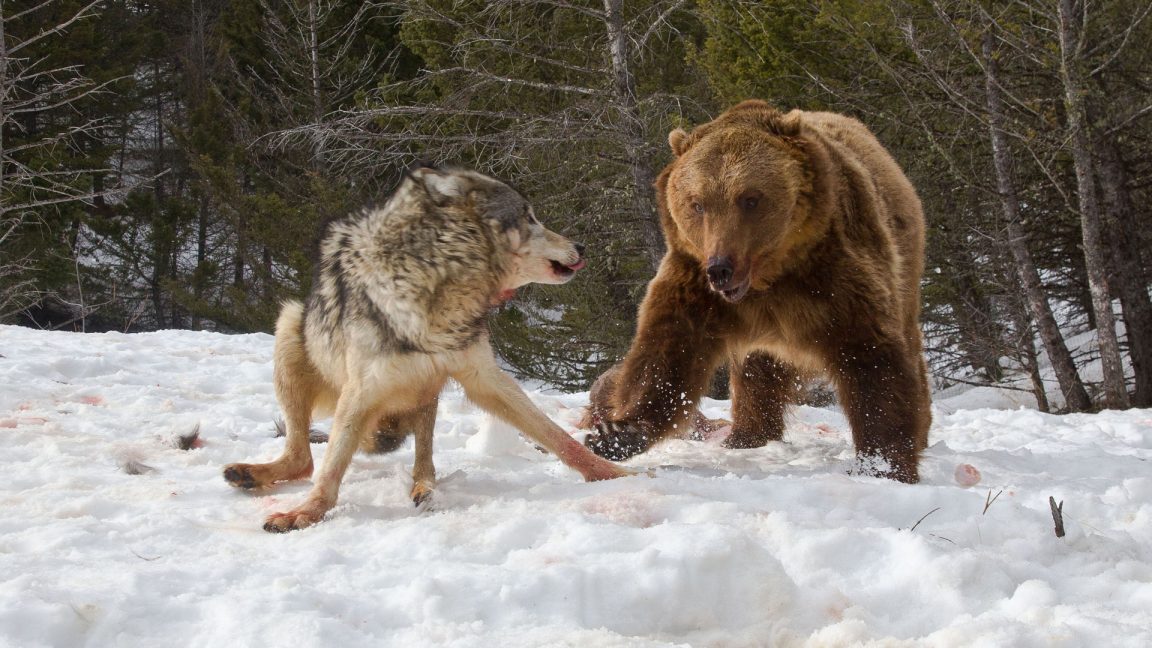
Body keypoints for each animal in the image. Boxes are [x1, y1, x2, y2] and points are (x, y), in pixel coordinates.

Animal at [589, 100, 930, 481]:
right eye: (697, 203)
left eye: (750, 198)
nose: (720, 268)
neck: (768, 279)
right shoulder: (693, 283)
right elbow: (665, 355)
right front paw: (618, 432)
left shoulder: (836, 276)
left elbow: (871, 358)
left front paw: (882, 465)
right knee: (757, 374)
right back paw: (748, 435)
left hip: (904, 262)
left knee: (908, 343)